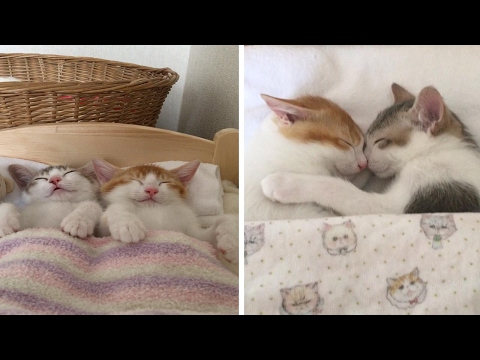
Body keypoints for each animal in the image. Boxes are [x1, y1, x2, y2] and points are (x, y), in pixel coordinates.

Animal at [260, 83, 480, 215]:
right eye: (366, 142)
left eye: (379, 141)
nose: (365, 159)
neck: (440, 151)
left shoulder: (406, 208)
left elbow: (340, 189)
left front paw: (283, 183)